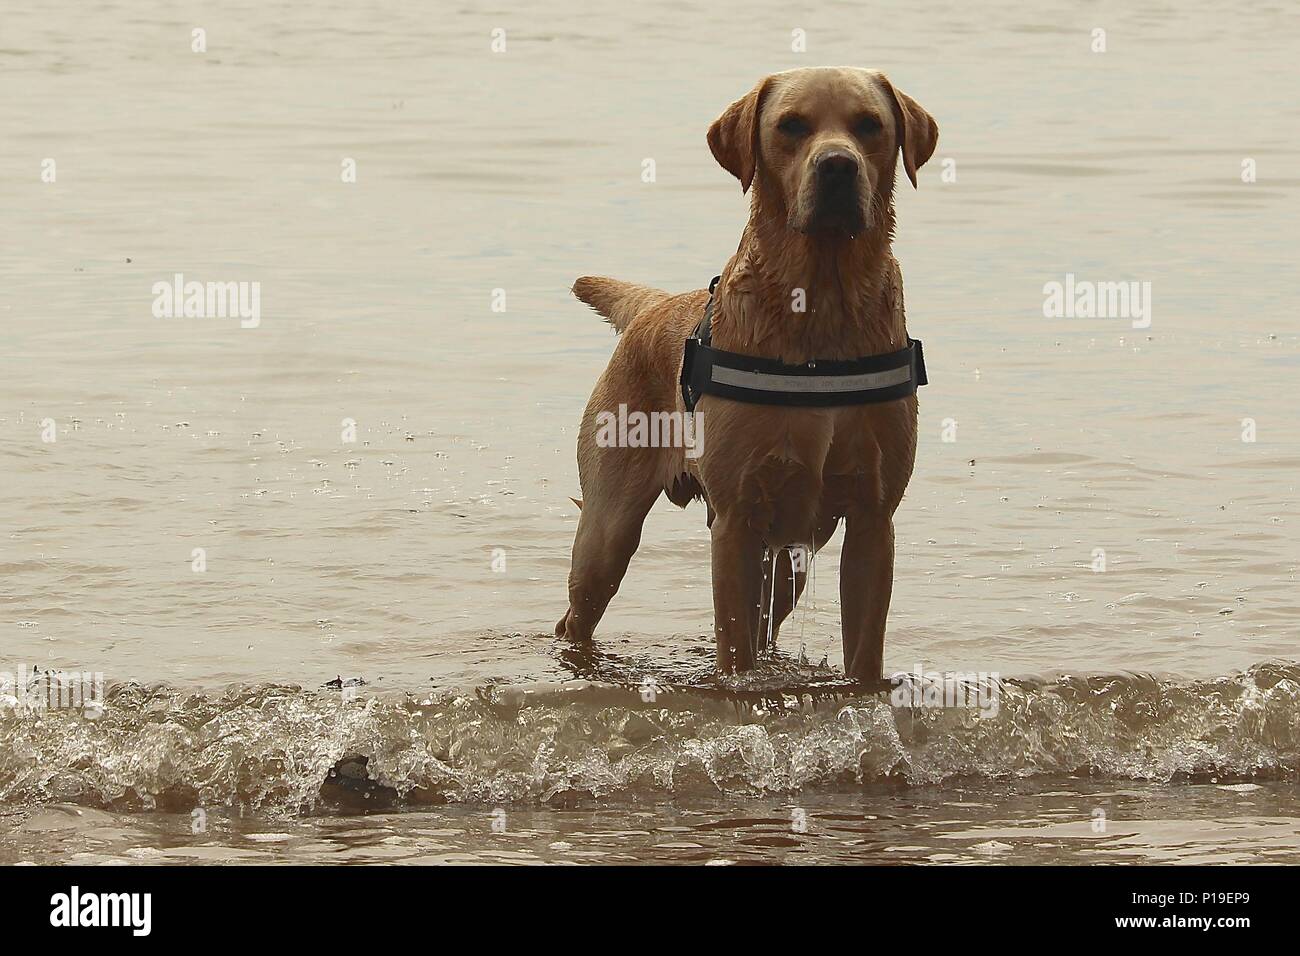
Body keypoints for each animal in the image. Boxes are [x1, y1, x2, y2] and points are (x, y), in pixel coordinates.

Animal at [556, 65, 935, 681]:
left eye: (869, 125)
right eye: (791, 126)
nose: (838, 165)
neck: (822, 304)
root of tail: (653, 305)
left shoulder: (873, 521)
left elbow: (863, 652)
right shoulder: (735, 521)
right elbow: (734, 653)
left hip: (792, 560)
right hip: (607, 530)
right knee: (575, 615)